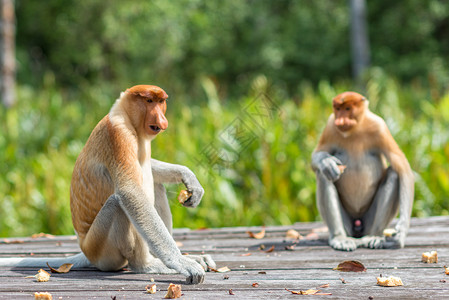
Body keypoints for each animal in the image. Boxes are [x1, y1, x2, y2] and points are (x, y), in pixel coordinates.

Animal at [0, 84, 215, 284]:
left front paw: (188, 177)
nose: (162, 118)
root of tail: (85, 250)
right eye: (149, 101)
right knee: (119, 202)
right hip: (101, 247)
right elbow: (130, 191)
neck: (125, 115)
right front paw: (181, 263)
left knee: (155, 186)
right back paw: (147, 265)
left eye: (161, 102)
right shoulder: (119, 135)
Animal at [312, 91, 412, 251]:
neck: (355, 130)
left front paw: (401, 232)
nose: (340, 121)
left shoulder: (380, 127)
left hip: (368, 222)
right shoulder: (330, 126)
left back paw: (374, 237)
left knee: (393, 174)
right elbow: (316, 155)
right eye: (337, 109)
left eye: (347, 108)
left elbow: (403, 168)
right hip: (347, 224)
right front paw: (327, 163)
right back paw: (340, 238)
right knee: (323, 176)